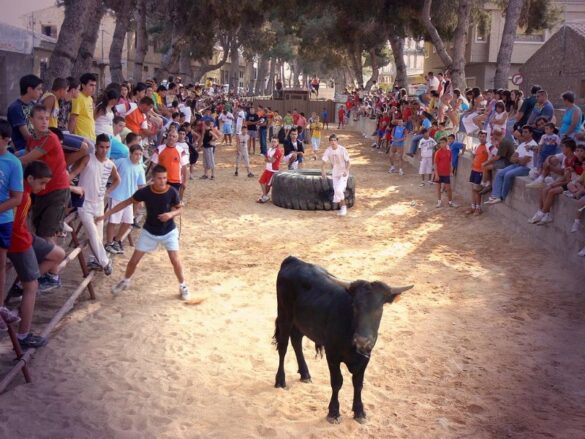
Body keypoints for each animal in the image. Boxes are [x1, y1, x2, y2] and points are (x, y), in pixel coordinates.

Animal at [272, 256, 412, 424]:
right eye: (355, 306)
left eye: (379, 309)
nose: (362, 341)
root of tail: (293, 259)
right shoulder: (332, 355)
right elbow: (337, 382)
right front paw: (333, 412)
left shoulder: (366, 357)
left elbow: (358, 383)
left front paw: (359, 411)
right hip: (284, 315)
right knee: (283, 346)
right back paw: (280, 380)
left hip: (299, 322)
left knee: (296, 341)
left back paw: (305, 374)